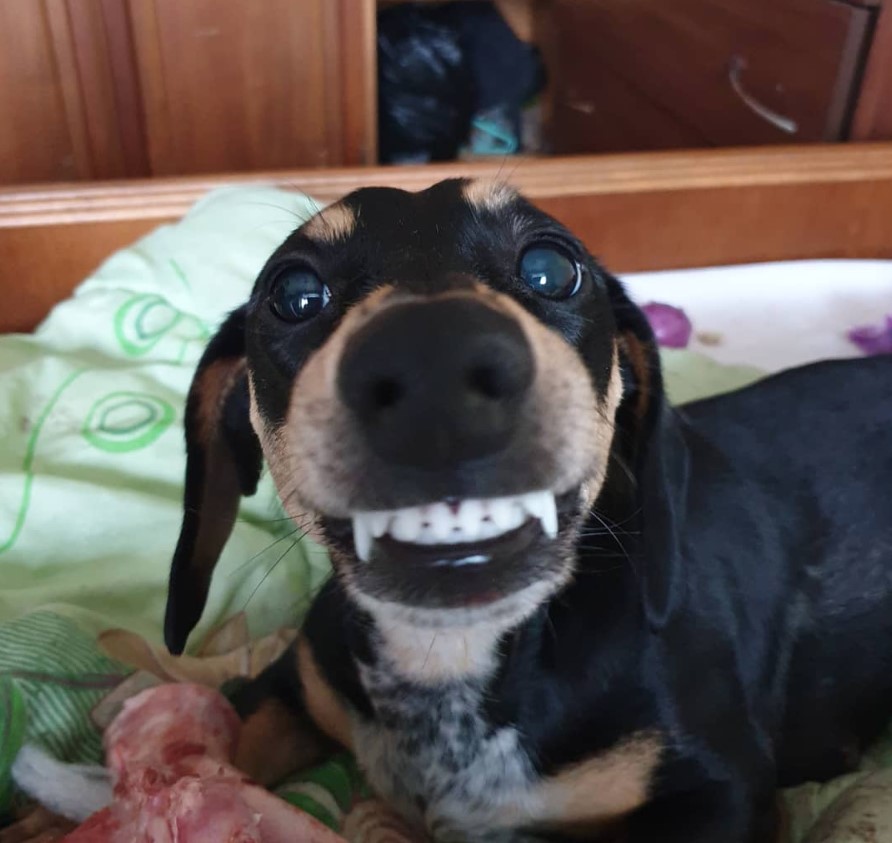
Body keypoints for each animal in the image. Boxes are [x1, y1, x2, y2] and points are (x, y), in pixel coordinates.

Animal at [162, 180, 892, 843]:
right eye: (294, 294)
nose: (433, 362)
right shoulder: (289, 684)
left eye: (551, 269)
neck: (451, 660)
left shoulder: (725, 792)